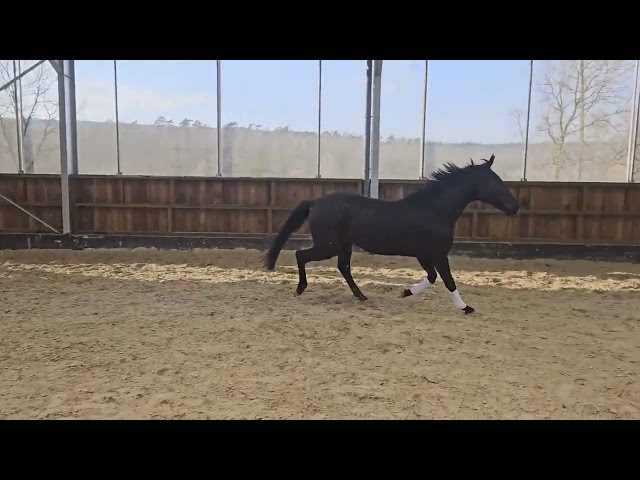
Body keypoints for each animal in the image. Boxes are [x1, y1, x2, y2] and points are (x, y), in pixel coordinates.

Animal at [264, 154, 519, 314]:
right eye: (495, 182)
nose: (515, 207)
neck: (435, 209)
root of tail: (316, 202)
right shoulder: (437, 254)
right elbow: (447, 280)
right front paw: (465, 308)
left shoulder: (425, 255)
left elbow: (432, 277)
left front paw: (406, 292)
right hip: (328, 245)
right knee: (301, 255)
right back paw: (300, 289)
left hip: (342, 245)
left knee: (343, 267)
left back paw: (361, 296)